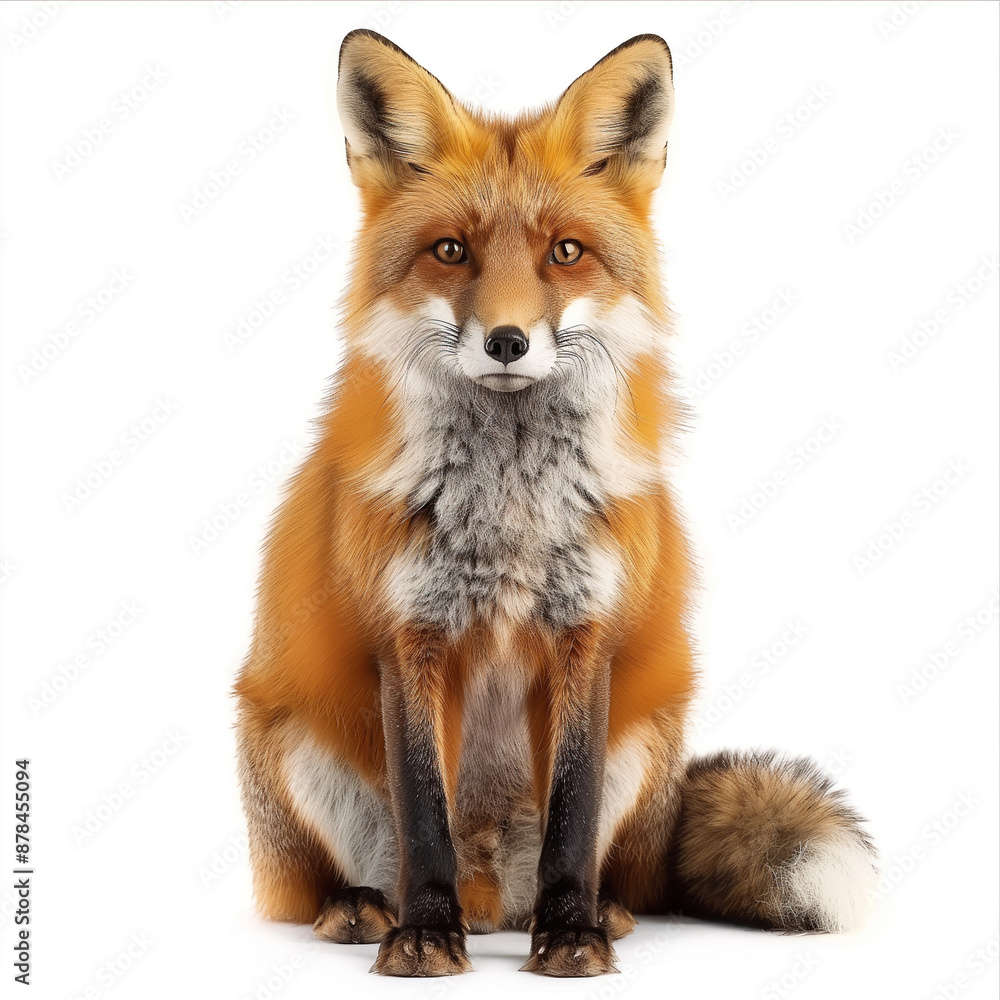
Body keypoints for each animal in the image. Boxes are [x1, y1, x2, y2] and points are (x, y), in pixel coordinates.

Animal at [234, 30, 878, 978]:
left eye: (565, 252)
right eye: (452, 251)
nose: (507, 340)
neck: (509, 512)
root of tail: (493, 897)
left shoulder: (587, 633)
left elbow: (571, 815)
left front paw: (571, 934)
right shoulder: (409, 634)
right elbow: (423, 814)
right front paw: (423, 935)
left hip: (648, 738)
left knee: (597, 867)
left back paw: (596, 911)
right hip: (287, 737)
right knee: (342, 877)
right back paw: (364, 908)